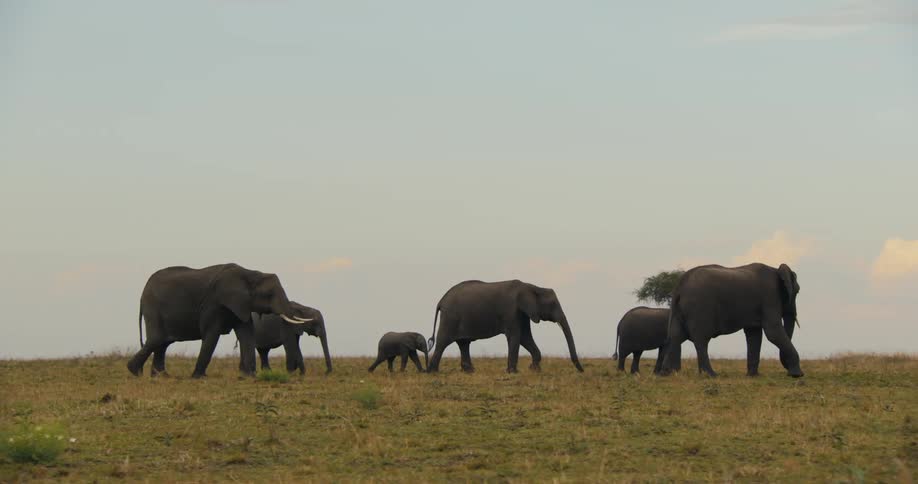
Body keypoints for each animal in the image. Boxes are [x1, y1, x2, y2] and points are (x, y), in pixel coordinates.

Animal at [127, 263, 314, 378]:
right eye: (269, 294)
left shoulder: (240, 305)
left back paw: (160, 376)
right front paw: (198, 377)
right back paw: (135, 372)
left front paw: (249, 376)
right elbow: (211, 334)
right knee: (157, 339)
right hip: (153, 308)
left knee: (163, 343)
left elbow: (247, 334)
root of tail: (142, 293)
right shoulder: (214, 303)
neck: (250, 273)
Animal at [426, 280, 584, 373]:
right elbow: (516, 336)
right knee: (443, 342)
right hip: (450, 318)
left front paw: (534, 369)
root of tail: (441, 301)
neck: (531, 286)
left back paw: (470, 371)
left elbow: (525, 337)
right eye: (552, 305)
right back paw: (433, 372)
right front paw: (513, 372)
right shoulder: (511, 311)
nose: (581, 371)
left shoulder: (522, 313)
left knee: (463, 343)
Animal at [660, 263, 802, 378]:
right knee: (701, 340)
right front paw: (797, 375)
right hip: (699, 307)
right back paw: (711, 375)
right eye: (797, 291)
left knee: (676, 336)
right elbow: (773, 332)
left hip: (680, 310)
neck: (776, 270)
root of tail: (679, 286)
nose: (788, 371)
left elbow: (754, 334)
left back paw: (666, 374)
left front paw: (753, 376)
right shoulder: (770, 296)